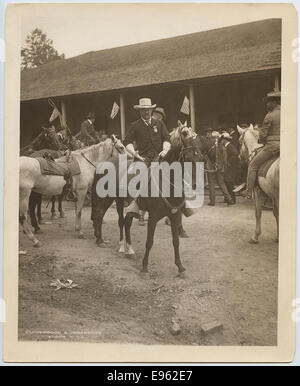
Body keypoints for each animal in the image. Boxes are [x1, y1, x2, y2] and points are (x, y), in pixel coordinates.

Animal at [91, 123, 206, 274]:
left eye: (201, 157)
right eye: (186, 157)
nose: (195, 184)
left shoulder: (174, 215)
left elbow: (176, 241)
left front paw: (180, 266)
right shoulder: (153, 216)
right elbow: (149, 241)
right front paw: (145, 266)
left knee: (124, 221)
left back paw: (129, 250)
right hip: (114, 199)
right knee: (113, 218)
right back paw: (117, 245)